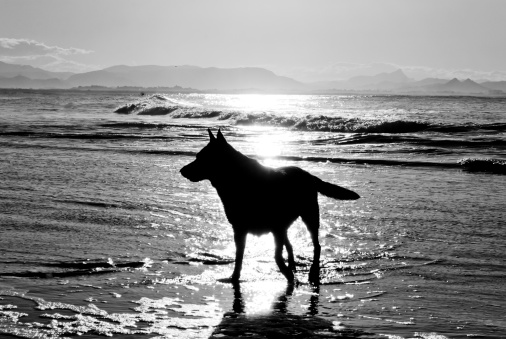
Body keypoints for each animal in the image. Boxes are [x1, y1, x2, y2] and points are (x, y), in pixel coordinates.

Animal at [180, 129, 358, 284]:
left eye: (201, 158)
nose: (182, 171)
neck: (237, 179)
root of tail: (309, 175)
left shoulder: (274, 228)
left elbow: (276, 256)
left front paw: (288, 275)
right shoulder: (241, 230)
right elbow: (239, 257)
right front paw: (235, 278)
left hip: (309, 216)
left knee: (316, 246)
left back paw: (311, 271)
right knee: (290, 245)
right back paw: (292, 266)